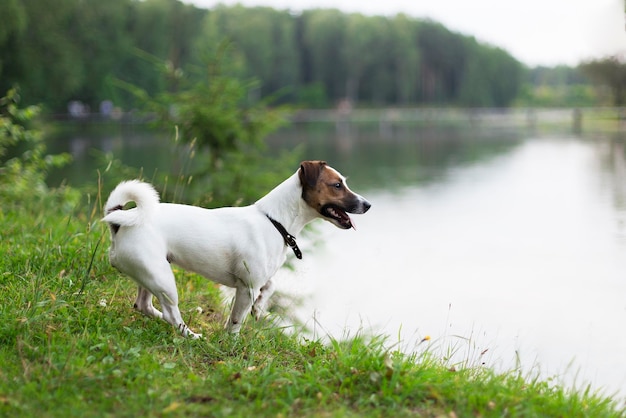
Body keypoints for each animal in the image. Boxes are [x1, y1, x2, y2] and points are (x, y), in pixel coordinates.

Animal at [100, 158, 368, 338]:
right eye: (337, 185)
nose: (368, 204)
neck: (274, 220)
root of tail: (119, 222)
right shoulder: (246, 288)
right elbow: (236, 320)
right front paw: (231, 342)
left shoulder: (256, 280)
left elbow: (270, 285)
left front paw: (259, 309)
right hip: (163, 279)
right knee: (170, 313)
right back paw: (191, 335)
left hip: (149, 275)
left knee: (143, 305)